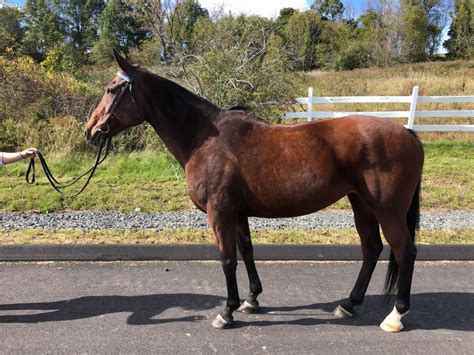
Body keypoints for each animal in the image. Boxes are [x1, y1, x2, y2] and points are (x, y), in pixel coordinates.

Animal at [84, 51, 422, 336]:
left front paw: (227, 312)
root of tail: (409, 134)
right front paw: (251, 299)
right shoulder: (237, 214)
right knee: (372, 249)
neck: (205, 140)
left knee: (404, 251)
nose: (90, 131)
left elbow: (227, 260)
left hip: (388, 211)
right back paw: (348, 304)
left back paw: (395, 316)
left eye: (112, 89)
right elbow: (246, 252)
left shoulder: (219, 213)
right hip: (361, 204)